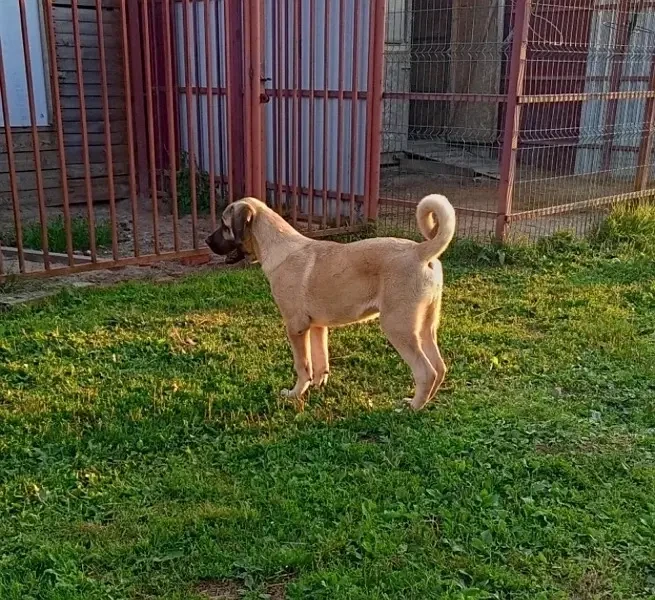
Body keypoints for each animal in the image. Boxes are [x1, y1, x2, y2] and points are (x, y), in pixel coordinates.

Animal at [205, 195, 456, 410]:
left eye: (224, 225)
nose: (207, 240)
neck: (277, 246)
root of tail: (420, 251)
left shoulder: (296, 327)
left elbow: (302, 365)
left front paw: (295, 393)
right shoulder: (317, 326)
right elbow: (320, 361)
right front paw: (317, 386)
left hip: (398, 326)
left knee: (426, 372)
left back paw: (412, 407)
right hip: (425, 327)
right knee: (439, 367)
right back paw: (425, 402)